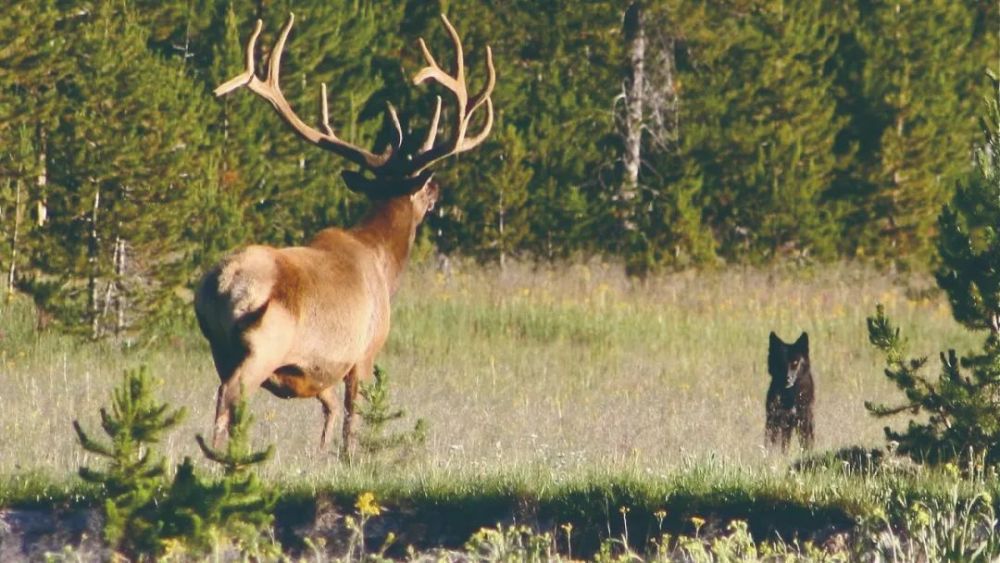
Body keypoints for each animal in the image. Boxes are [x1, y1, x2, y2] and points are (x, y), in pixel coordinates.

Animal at [193, 12, 494, 458]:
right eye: (424, 186)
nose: (438, 188)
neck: (385, 264)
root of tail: (219, 283)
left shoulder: (320, 371)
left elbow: (330, 411)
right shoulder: (364, 353)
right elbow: (354, 420)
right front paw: (353, 459)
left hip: (219, 348)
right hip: (262, 344)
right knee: (229, 397)